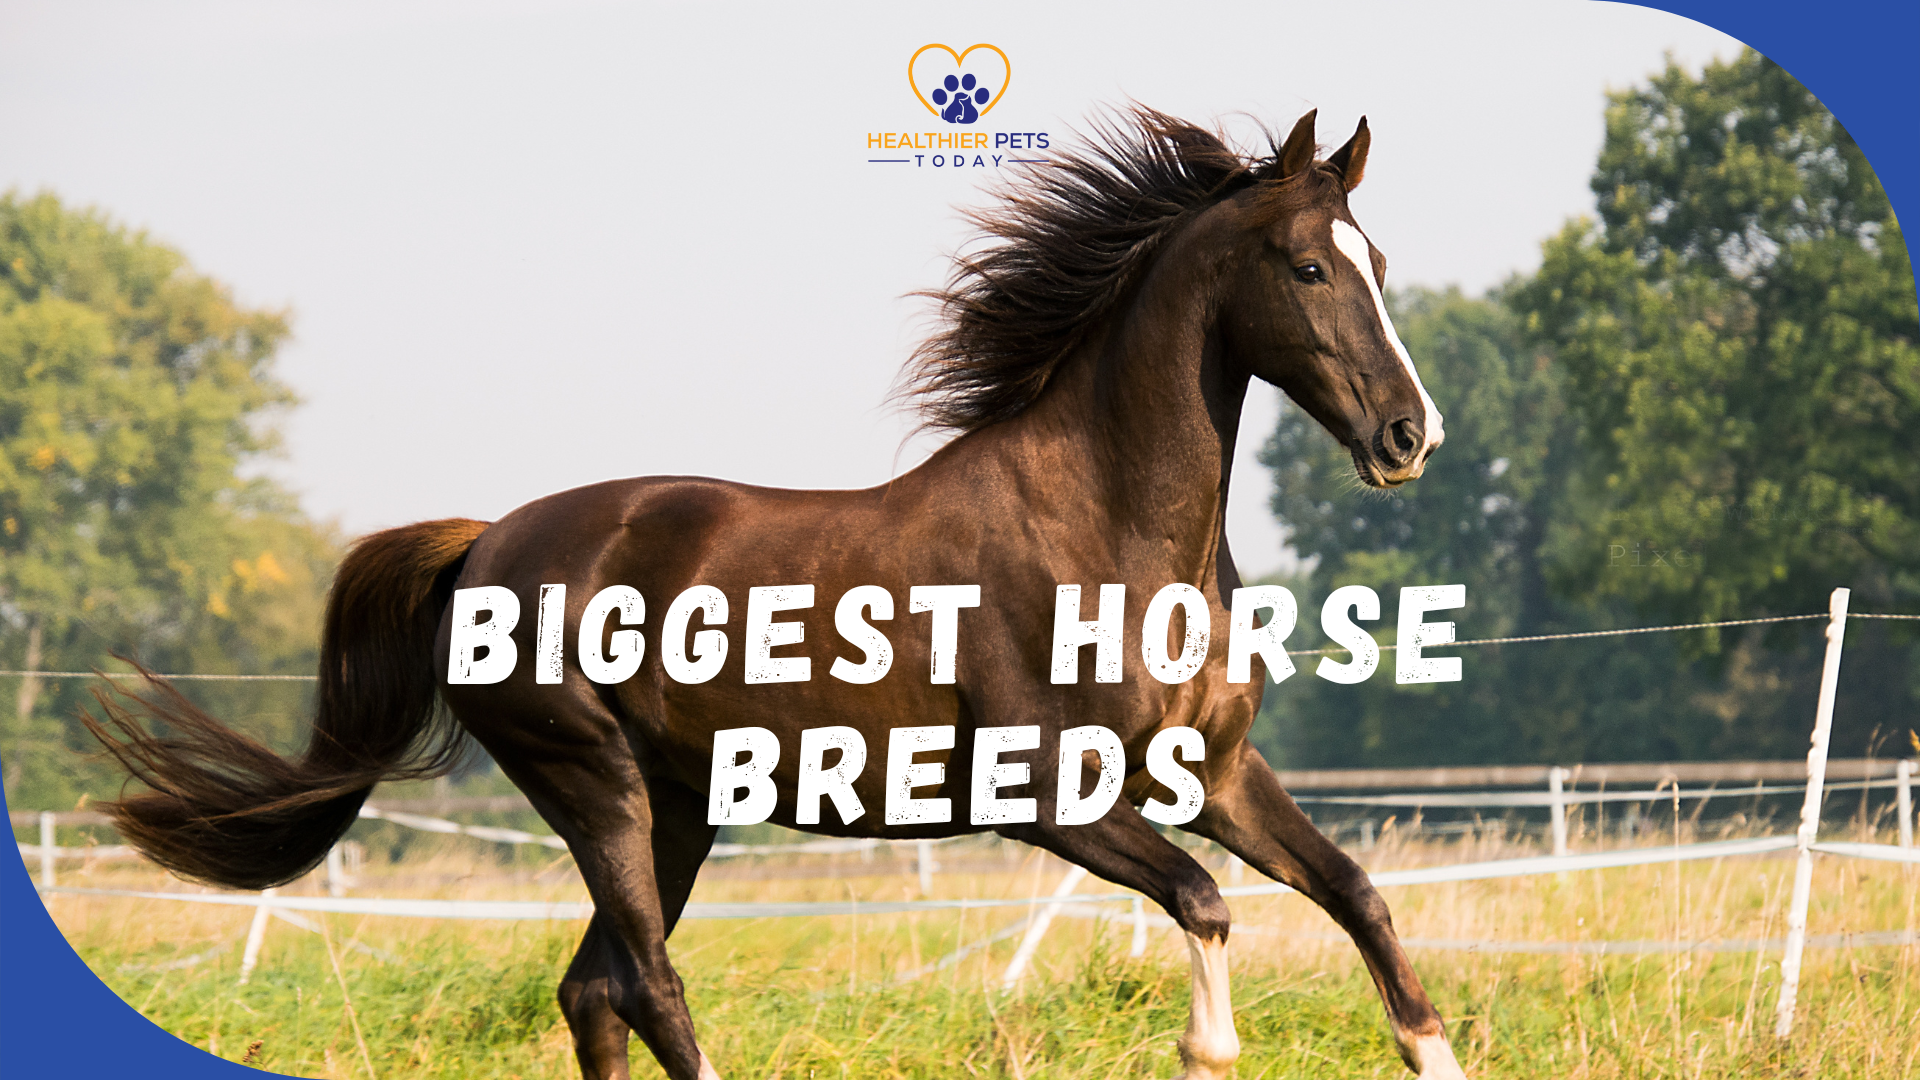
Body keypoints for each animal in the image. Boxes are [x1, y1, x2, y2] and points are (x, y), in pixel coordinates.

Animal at [87, 107, 1465, 1079]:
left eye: (1379, 260)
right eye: (1306, 269)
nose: (1411, 437)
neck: (1107, 533)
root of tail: (483, 546)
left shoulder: (1218, 775)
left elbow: (1358, 899)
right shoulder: (1044, 802)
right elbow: (1205, 902)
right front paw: (1208, 1052)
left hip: (683, 805)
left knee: (592, 992)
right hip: (597, 786)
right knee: (646, 986)